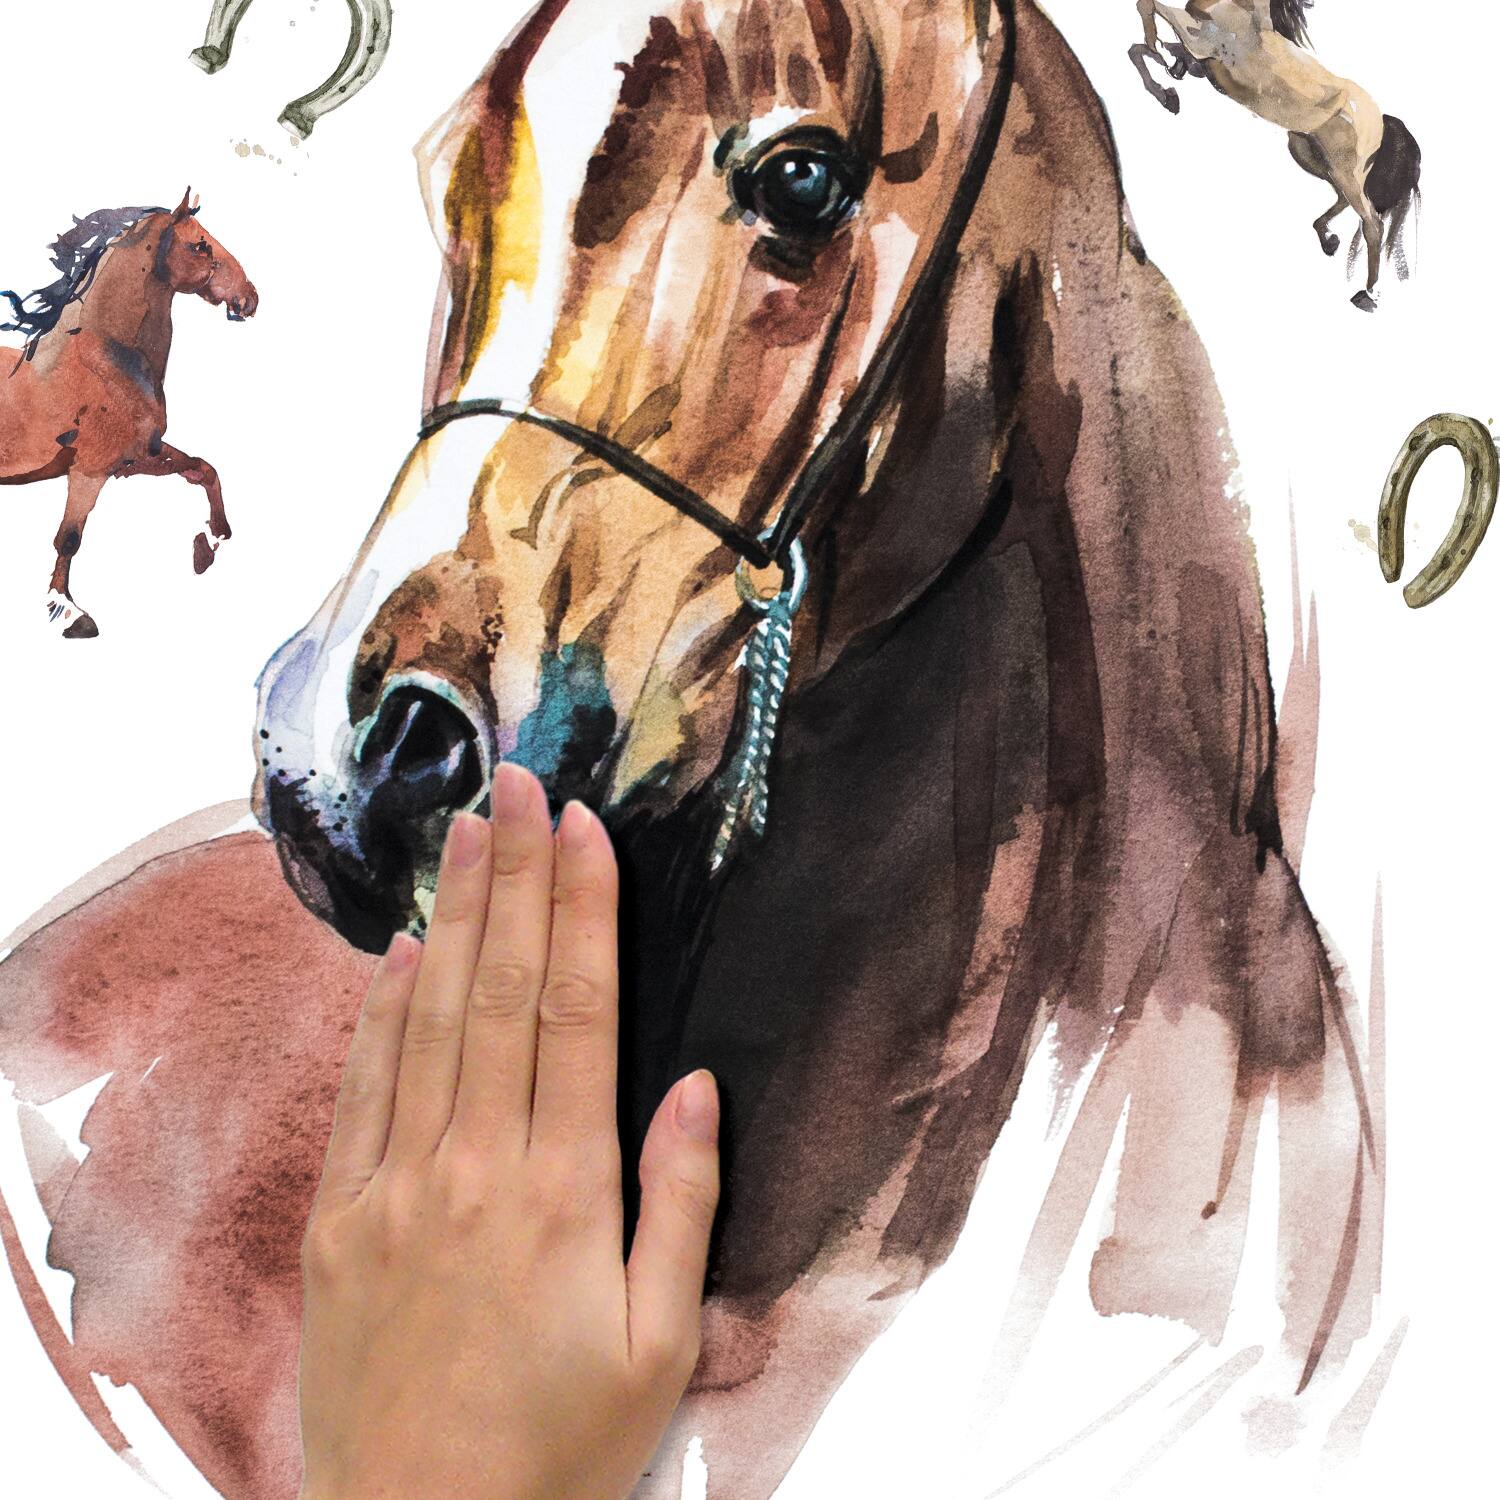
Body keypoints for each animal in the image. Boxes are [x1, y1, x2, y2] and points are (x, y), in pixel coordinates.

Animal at [0, 191, 258, 637]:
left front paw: (210, 543)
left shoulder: (137, 456)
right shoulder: (90, 470)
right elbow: (69, 538)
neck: (104, 361)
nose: (250, 297)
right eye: (201, 245)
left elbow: (202, 469)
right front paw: (69, 612)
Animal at [1129, 1, 1422, 310]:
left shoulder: (1198, 40)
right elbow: (1139, 50)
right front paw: (1167, 92)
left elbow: (1149, 13)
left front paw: (1159, 57)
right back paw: (1328, 240)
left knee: (1372, 223)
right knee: (1345, 201)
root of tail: (1380, 120)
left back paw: (1366, 294)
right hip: (1308, 154)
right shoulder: (1198, 56)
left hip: (1344, 170)